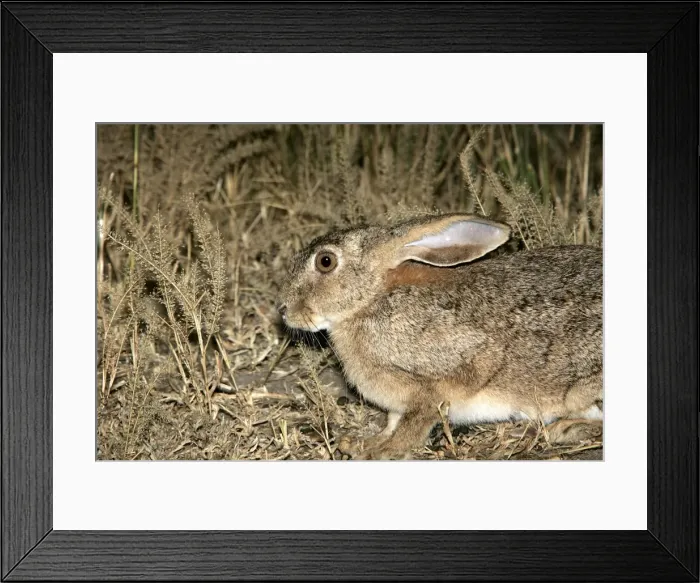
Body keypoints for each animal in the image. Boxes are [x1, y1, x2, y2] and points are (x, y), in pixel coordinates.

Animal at [276, 213, 603, 460]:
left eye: (325, 261)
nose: (283, 310)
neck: (371, 299)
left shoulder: (441, 379)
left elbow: (416, 422)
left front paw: (383, 451)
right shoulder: (399, 403)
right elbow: (393, 420)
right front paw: (365, 442)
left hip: (580, 389)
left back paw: (563, 429)